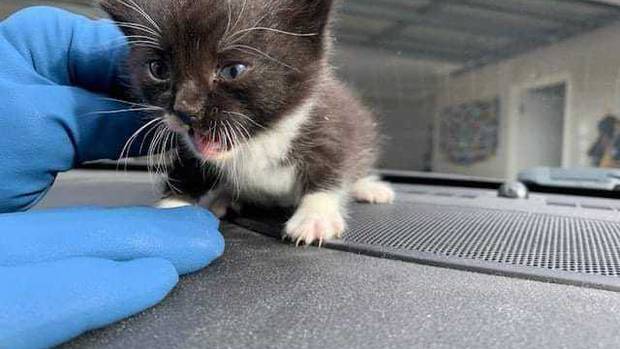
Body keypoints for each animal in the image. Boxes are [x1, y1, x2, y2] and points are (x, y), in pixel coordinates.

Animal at [101, 0, 392, 245]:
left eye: (233, 70)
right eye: (159, 69)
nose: (185, 110)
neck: (259, 138)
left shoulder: (328, 120)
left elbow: (332, 162)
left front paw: (315, 216)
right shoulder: (189, 147)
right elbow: (188, 168)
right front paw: (170, 209)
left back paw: (369, 187)